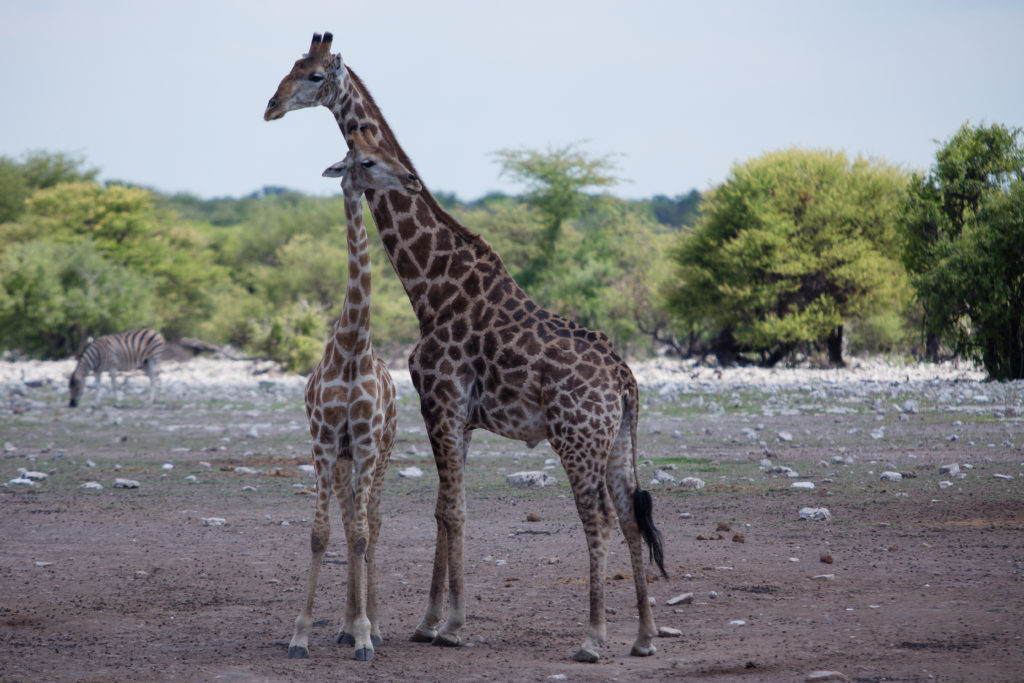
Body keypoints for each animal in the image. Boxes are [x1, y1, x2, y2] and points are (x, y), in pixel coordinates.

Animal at [264, 30, 667, 663]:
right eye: (292, 65)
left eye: (312, 75)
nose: (270, 106)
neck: (429, 285)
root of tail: (624, 378)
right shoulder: (459, 413)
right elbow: (442, 509)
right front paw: (428, 622)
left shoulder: (442, 400)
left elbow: (451, 508)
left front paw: (450, 625)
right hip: (618, 439)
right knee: (630, 513)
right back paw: (645, 637)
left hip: (576, 436)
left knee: (598, 517)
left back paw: (593, 638)